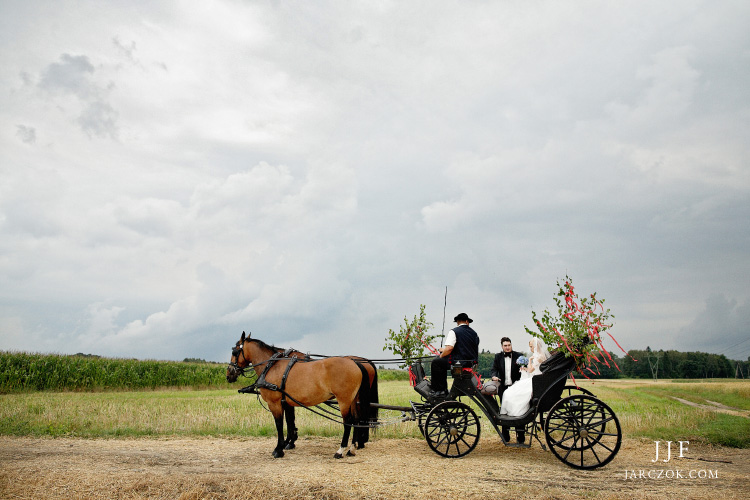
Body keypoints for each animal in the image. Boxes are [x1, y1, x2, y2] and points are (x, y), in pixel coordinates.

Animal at [223, 330, 376, 458]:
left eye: (235, 351)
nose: (229, 373)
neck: (272, 367)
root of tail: (356, 363)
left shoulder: (275, 403)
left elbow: (279, 424)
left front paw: (279, 449)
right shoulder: (286, 402)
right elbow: (289, 421)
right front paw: (288, 442)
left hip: (343, 400)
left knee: (348, 422)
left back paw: (341, 450)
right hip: (353, 399)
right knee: (356, 420)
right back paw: (352, 449)